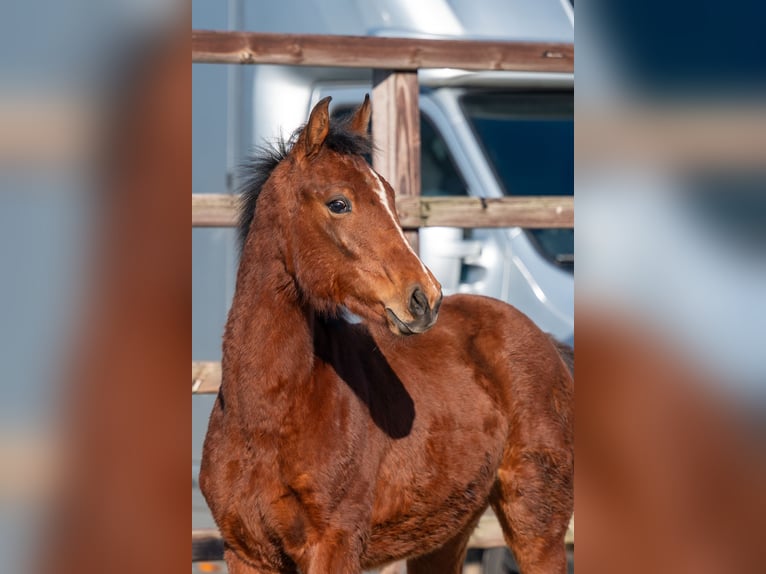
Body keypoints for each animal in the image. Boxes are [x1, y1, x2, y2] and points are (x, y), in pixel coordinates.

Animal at [199, 96, 574, 574]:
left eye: (392, 197)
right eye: (339, 203)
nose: (425, 297)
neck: (265, 420)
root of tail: (548, 343)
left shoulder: (335, 545)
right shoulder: (245, 553)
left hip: (535, 524)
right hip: (445, 532)